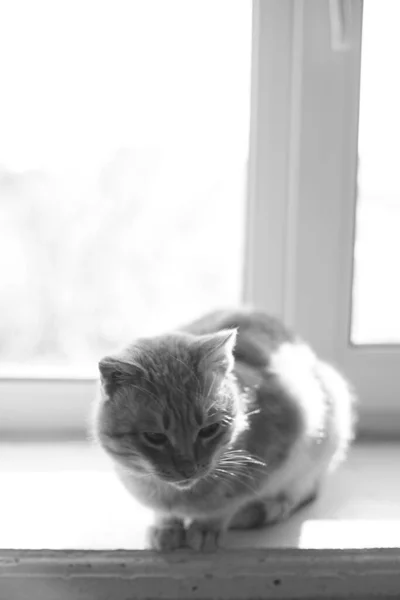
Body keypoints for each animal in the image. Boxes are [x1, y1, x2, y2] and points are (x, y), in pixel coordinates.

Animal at [94, 308, 356, 552]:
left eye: (209, 430)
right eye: (155, 437)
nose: (189, 468)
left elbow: (229, 503)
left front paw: (207, 527)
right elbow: (165, 514)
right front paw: (166, 527)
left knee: (302, 492)